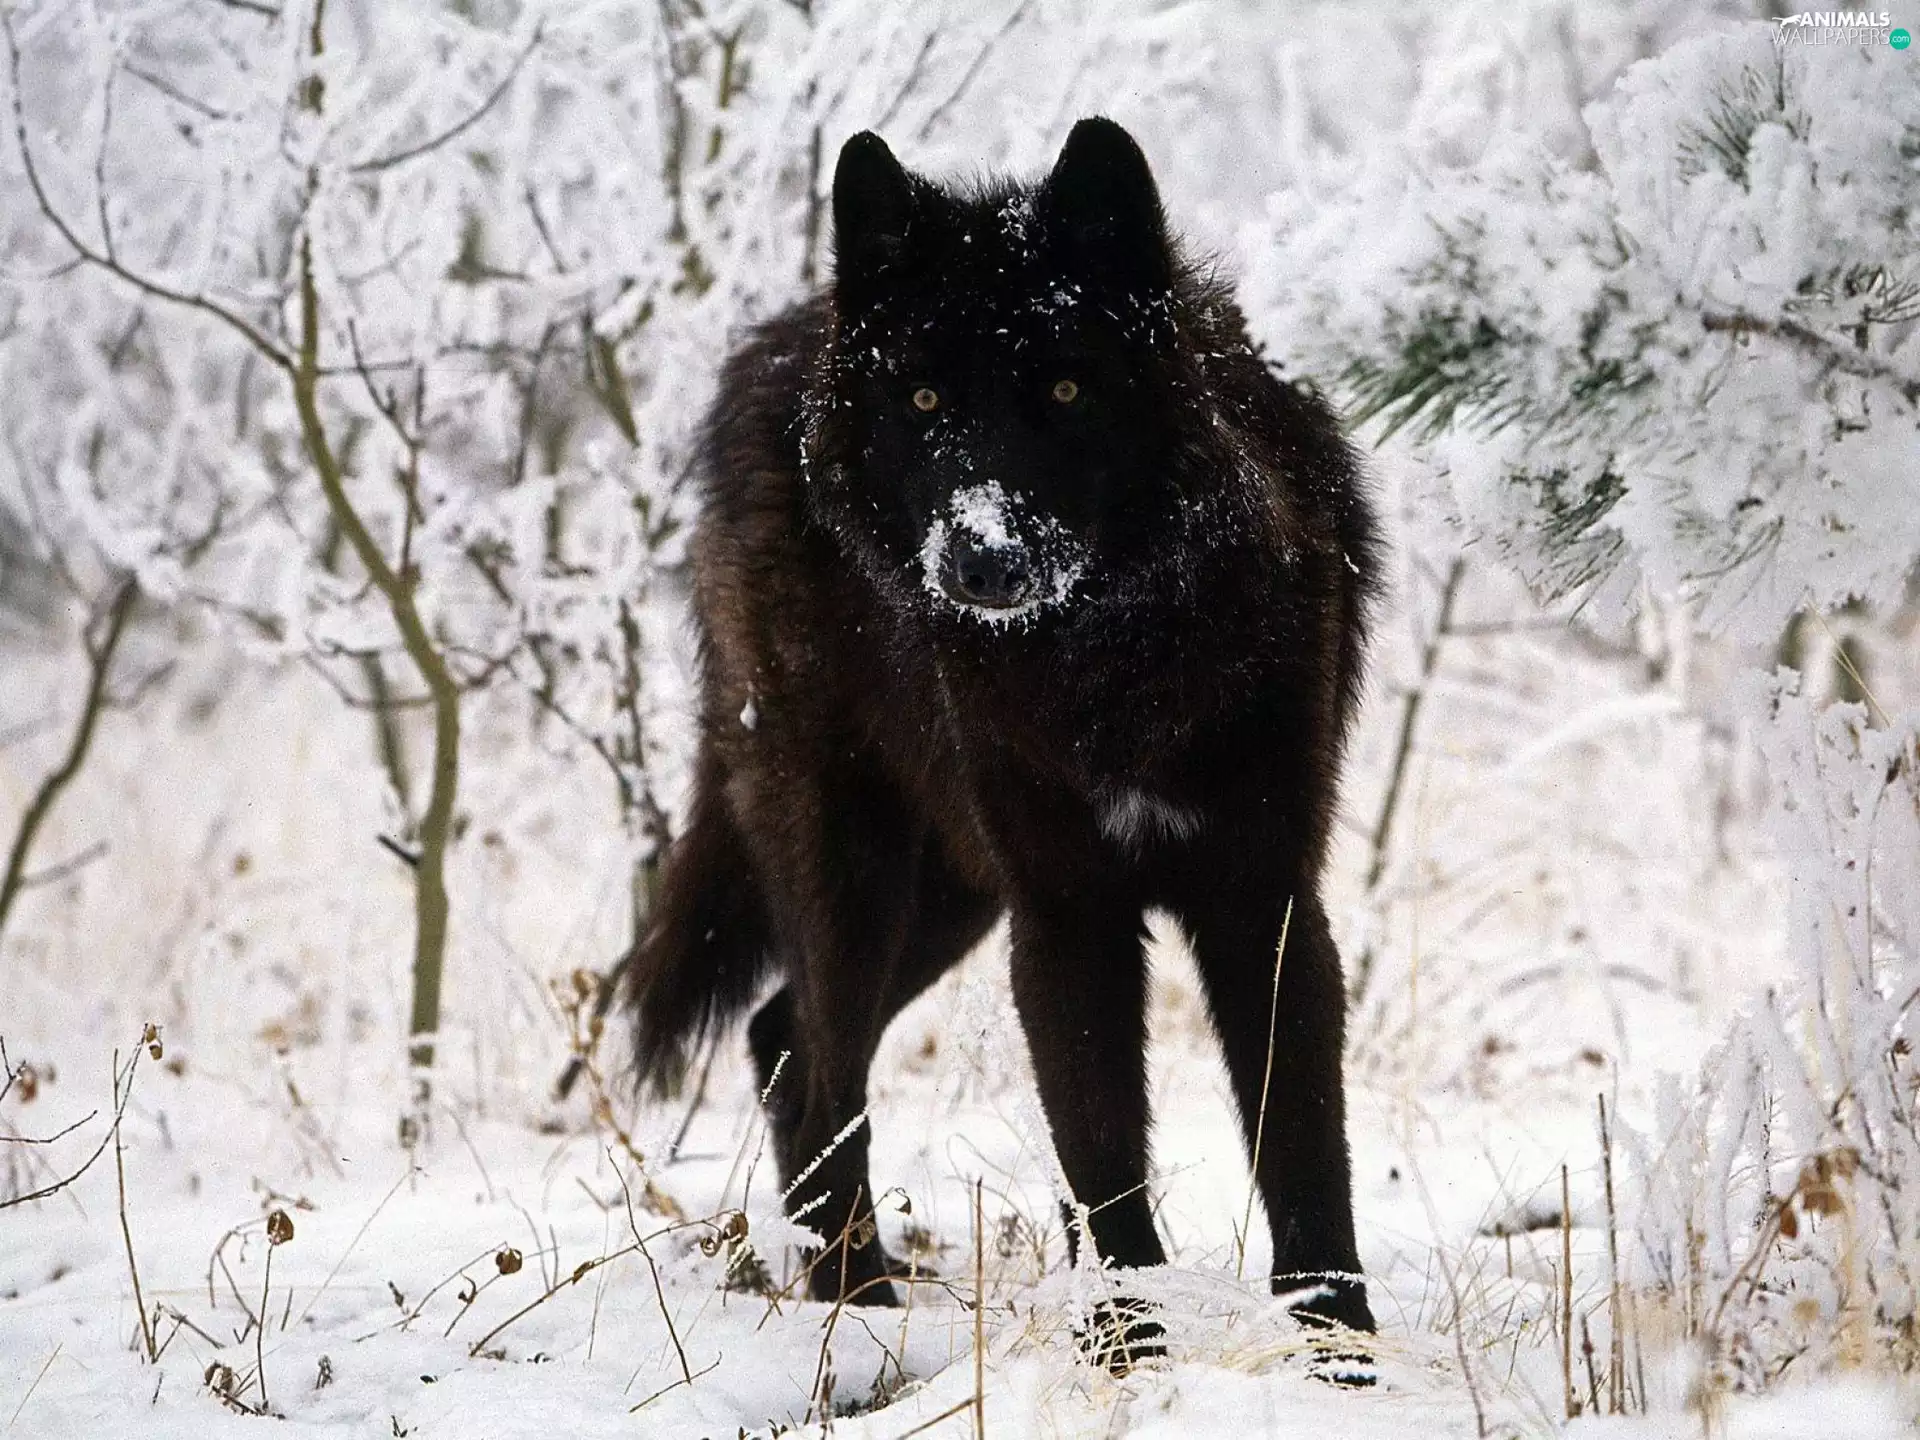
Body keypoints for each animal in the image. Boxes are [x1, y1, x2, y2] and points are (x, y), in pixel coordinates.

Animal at [625, 117, 1382, 1345]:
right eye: (927, 403)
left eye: (1067, 388)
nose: (983, 560)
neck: (1111, 663)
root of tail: (779, 344)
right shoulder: (1066, 913)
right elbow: (1102, 1157)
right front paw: (1127, 1349)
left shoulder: (1261, 899)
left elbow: (1304, 1148)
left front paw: (1341, 1350)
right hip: (859, 875)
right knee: (819, 1063)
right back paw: (858, 1305)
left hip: (951, 894)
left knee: (781, 1038)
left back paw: (854, 1296)